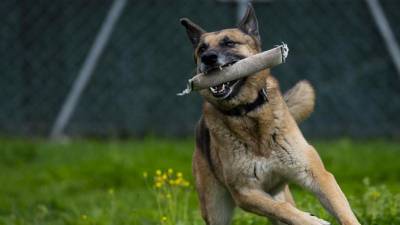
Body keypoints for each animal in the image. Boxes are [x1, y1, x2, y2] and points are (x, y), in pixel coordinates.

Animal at [180, 3, 360, 225]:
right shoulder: (246, 193)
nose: (207, 58)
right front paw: (313, 220)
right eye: (202, 49)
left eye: (229, 43)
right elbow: (281, 209)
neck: (248, 112)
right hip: (216, 209)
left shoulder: (317, 175)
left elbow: (343, 211)